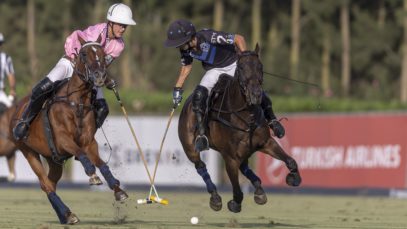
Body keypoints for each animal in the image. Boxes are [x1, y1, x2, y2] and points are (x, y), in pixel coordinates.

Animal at [9, 35, 128, 224]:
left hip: (53, 159)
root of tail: (16, 109)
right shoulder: (63, 140)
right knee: (45, 184)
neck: (76, 102)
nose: (100, 76)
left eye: (103, 54)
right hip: (28, 151)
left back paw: (66, 215)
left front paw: (118, 191)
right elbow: (82, 155)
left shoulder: (89, 142)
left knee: (50, 184)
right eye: (84, 54)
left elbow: (101, 163)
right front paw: (92, 175)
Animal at [179, 44, 302, 213]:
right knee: (200, 166)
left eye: (260, 66)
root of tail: (186, 104)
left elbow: (291, 161)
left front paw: (294, 178)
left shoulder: (266, 143)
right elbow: (237, 191)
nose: (255, 94)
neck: (246, 115)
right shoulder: (229, 157)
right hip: (190, 148)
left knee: (244, 166)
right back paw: (215, 197)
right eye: (242, 67)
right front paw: (234, 203)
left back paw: (258, 189)